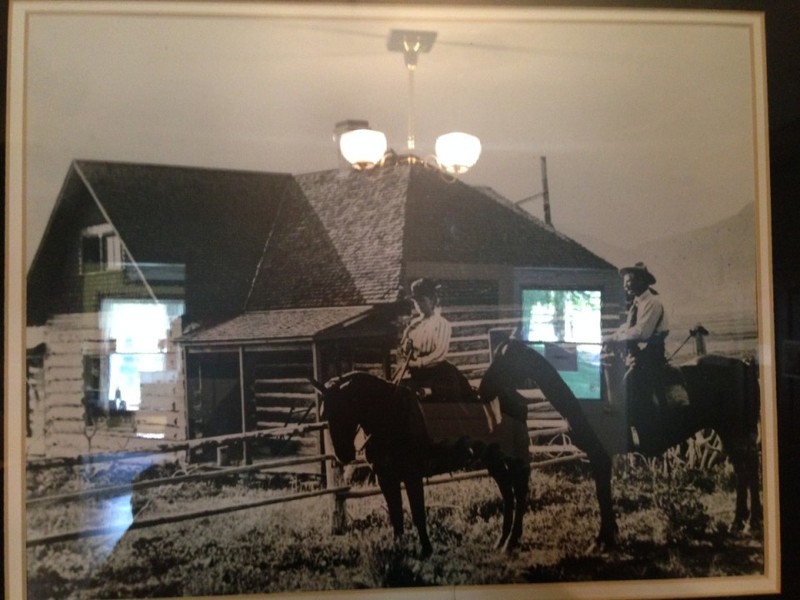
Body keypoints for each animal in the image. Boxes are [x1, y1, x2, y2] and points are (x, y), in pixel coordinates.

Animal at [312, 370, 532, 556]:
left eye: (345, 407)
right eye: (326, 414)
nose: (343, 454)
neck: (390, 414)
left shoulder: (412, 475)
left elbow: (417, 513)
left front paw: (426, 550)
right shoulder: (386, 478)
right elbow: (396, 516)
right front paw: (399, 550)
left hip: (514, 460)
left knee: (520, 493)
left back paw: (511, 541)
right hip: (494, 460)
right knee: (507, 493)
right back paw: (501, 542)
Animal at [482, 338, 764, 548]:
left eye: (505, 359)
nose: (482, 389)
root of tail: (744, 365)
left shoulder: (600, 455)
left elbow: (602, 494)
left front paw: (603, 538)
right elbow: (603, 493)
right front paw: (609, 534)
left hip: (735, 430)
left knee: (749, 469)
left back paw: (750, 523)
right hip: (727, 431)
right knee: (742, 470)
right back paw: (739, 522)